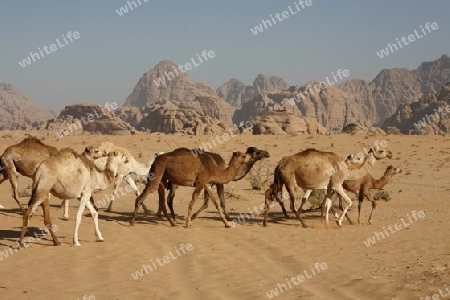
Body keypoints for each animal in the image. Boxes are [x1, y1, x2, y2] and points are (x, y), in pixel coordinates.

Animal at [264, 148, 394, 227]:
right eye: (381, 150)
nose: (390, 153)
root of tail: (279, 164)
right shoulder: (336, 184)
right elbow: (348, 202)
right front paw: (339, 222)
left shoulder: (329, 186)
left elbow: (327, 203)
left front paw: (327, 222)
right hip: (290, 182)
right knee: (291, 204)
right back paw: (304, 223)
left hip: (279, 180)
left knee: (271, 194)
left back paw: (266, 222)